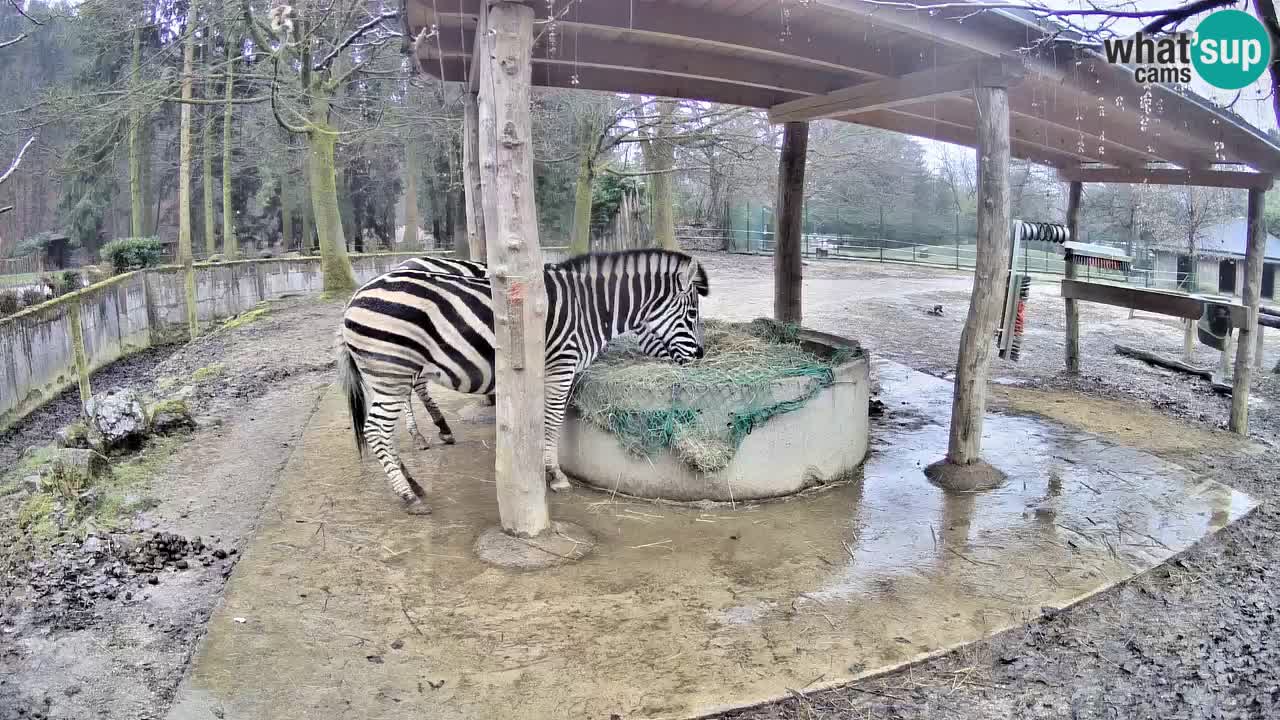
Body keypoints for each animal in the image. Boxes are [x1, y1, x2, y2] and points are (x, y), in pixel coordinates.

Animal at [337, 249, 711, 512]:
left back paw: (413, 480)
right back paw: (409, 495)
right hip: (392, 370)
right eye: (692, 314)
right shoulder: (560, 367)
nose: (701, 356)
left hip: (388, 374)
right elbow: (552, 421)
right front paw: (554, 476)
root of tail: (354, 298)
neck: (588, 308)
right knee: (377, 430)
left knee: (383, 429)